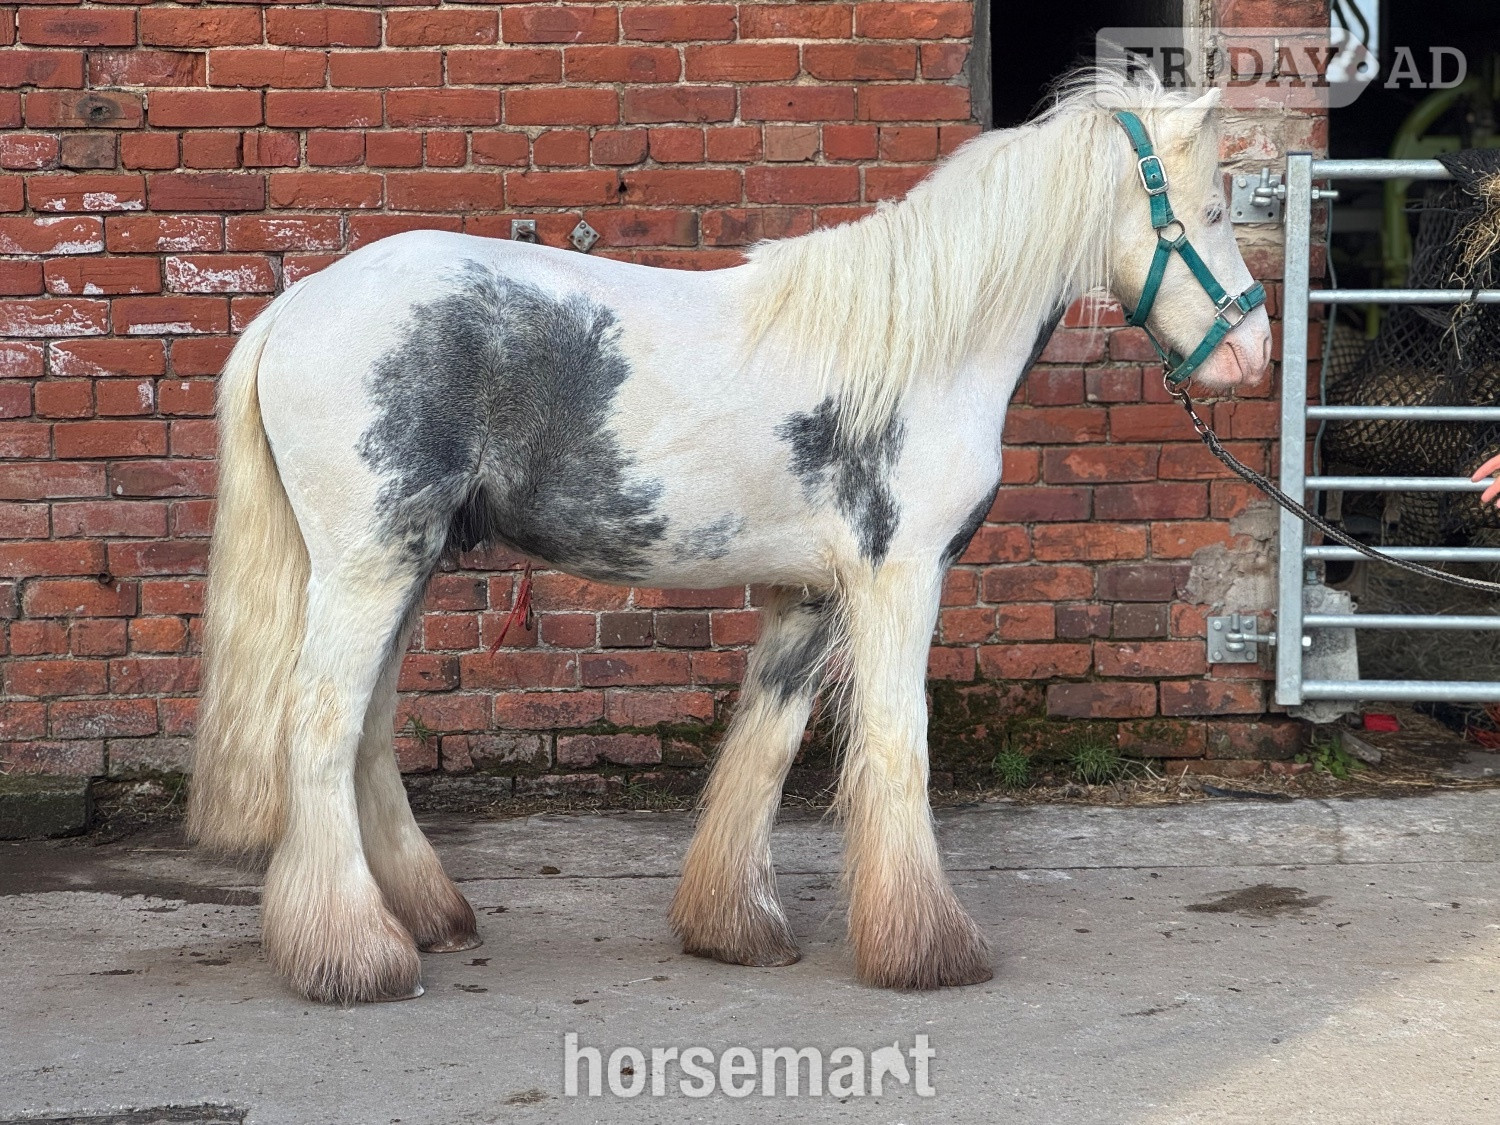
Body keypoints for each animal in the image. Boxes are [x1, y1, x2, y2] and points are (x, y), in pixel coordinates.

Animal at [188, 71, 1273, 1004]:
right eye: (1215, 211)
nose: (1255, 353)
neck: (922, 348)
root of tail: (296, 306)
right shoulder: (902, 578)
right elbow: (898, 744)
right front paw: (928, 950)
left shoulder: (812, 594)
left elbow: (766, 743)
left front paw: (732, 927)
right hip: (371, 563)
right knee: (321, 722)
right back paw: (355, 956)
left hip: (405, 568)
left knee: (367, 728)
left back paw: (425, 916)